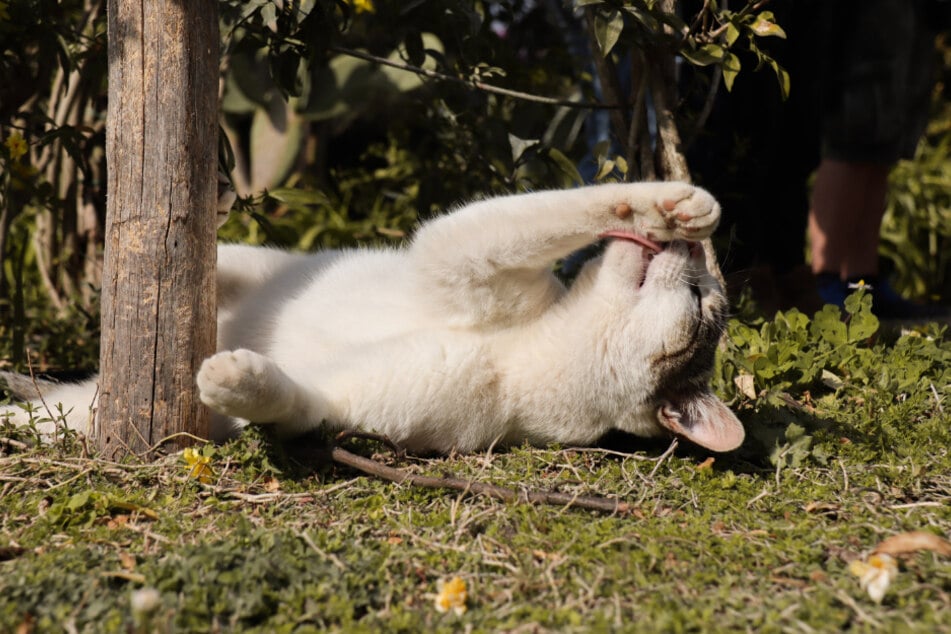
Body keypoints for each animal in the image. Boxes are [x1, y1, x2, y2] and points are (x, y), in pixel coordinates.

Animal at [0, 180, 744, 452]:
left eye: (701, 301)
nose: (692, 253)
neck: (526, 345)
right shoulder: (460, 251)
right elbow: (565, 203)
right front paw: (669, 203)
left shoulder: (354, 407)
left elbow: (293, 405)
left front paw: (237, 380)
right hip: (256, 261)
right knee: (222, 260)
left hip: (78, 417)